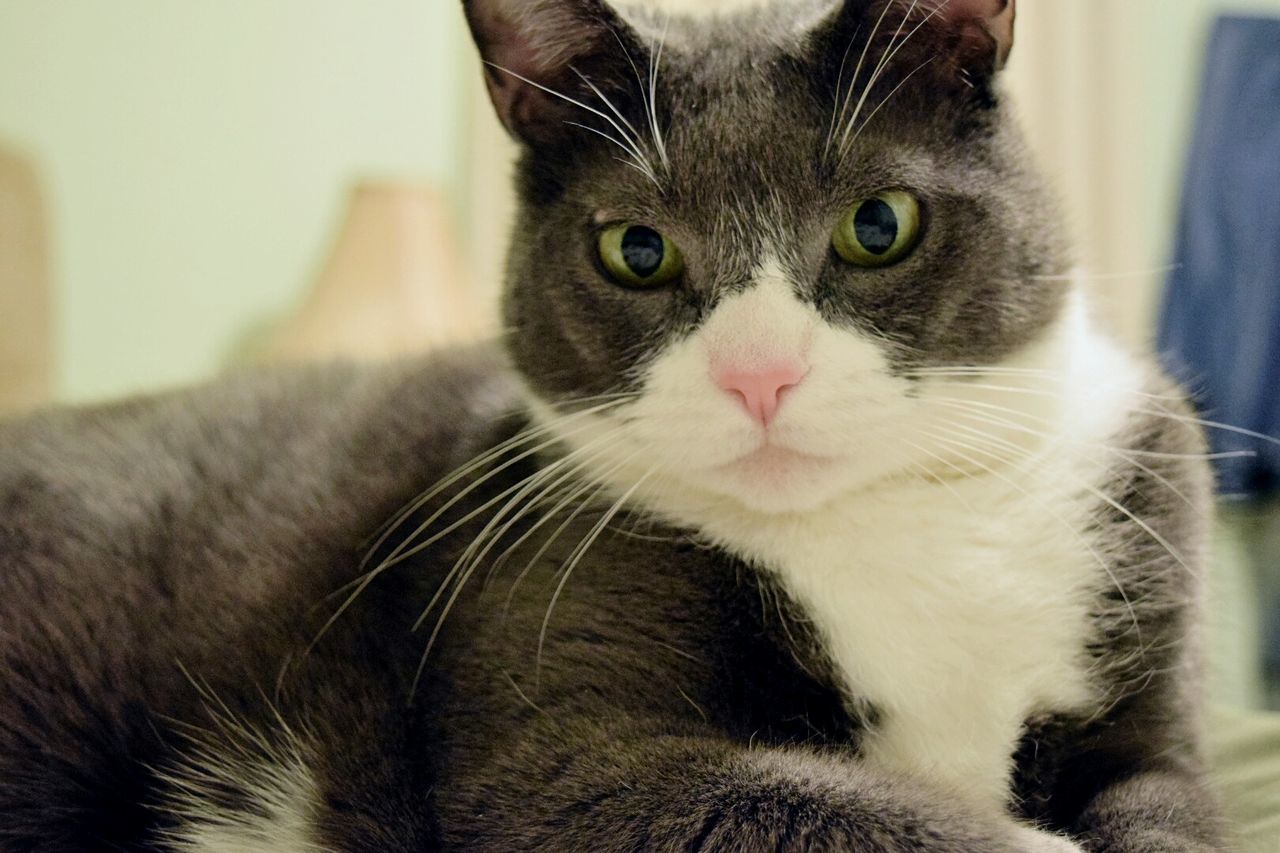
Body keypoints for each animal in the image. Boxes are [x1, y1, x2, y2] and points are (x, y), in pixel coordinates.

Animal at [0, 0, 1228, 845]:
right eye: (637, 249)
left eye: (878, 223)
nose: (759, 375)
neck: (883, 521)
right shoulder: (550, 708)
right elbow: (762, 799)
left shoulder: (1153, 682)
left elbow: (1168, 807)